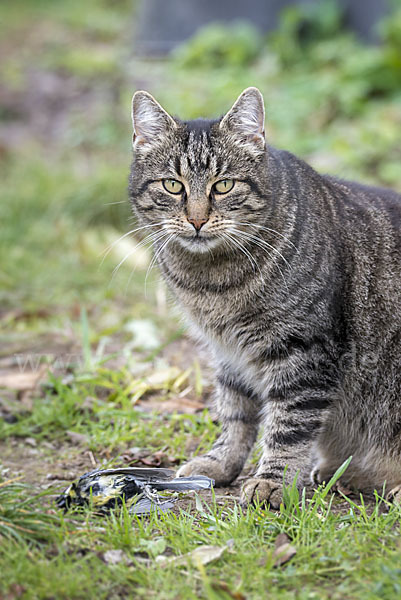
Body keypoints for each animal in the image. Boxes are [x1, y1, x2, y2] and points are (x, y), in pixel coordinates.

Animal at [129, 85, 400, 506]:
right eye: (173, 185)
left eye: (224, 185)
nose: (196, 219)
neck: (212, 281)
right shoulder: (227, 353)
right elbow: (235, 414)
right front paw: (221, 463)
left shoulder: (304, 352)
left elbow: (289, 425)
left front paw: (273, 481)